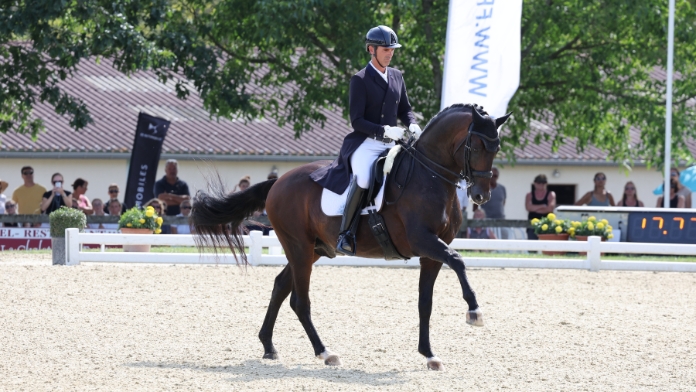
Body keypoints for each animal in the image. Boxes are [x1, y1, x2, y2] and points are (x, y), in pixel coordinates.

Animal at [193, 104, 508, 370]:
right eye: (476, 145)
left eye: (496, 148)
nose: (481, 196)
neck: (429, 176)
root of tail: (278, 181)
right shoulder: (424, 241)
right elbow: (459, 261)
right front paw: (474, 312)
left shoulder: (431, 254)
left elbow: (425, 303)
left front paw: (429, 355)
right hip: (299, 247)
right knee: (299, 300)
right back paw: (325, 352)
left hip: (313, 249)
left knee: (281, 286)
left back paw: (269, 346)